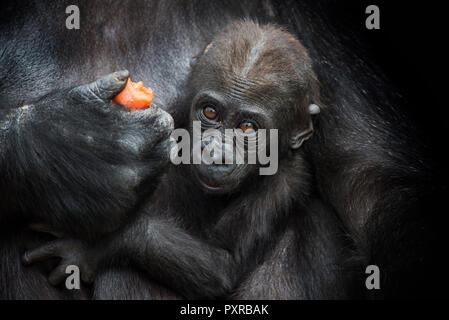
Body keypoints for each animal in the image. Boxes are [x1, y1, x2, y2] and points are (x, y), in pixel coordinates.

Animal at [21, 21, 350, 298]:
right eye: (210, 112)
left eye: (247, 127)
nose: (214, 152)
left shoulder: (285, 185)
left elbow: (224, 263)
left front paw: (99, 244)